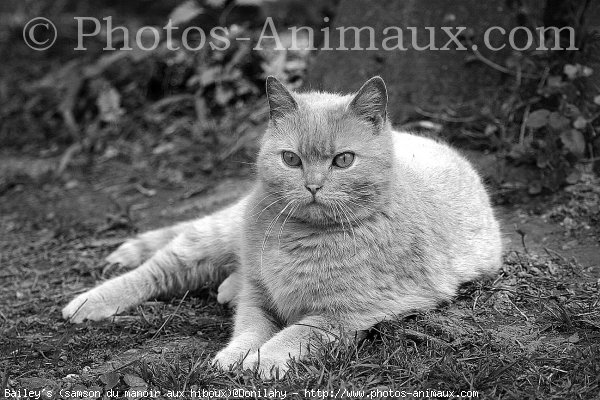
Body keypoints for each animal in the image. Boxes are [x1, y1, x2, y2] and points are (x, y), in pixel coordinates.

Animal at [62, 75, 502, 378]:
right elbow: (249, 327)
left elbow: (296, 334)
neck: (301, 239)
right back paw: (90, 301)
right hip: (217, 234)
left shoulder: (347, 315)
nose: (313, 186)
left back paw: (225, 289)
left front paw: (263, 360)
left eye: (343, 160)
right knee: (161, 266)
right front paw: (236, 355)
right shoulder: (260, 298)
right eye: (291, 159)